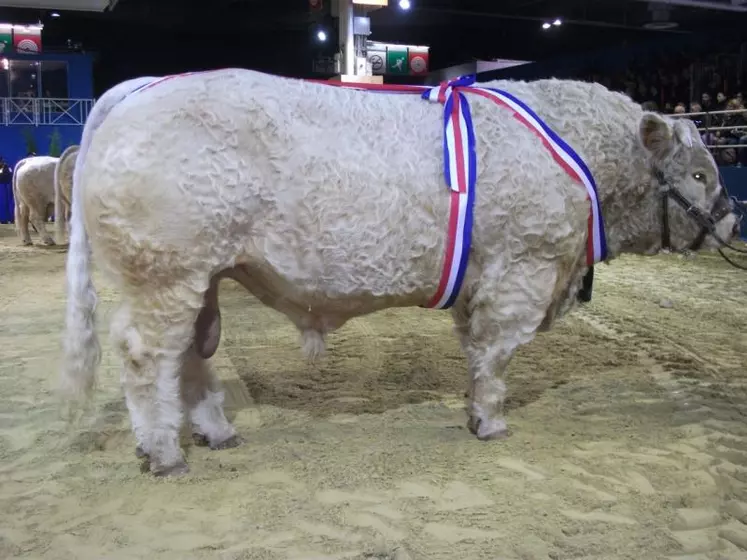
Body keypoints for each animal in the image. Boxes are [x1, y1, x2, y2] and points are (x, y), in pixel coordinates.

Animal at [60, 68, 744, 474]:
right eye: (700, 173)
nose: (733, 221)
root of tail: (144, 87)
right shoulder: (523, 267)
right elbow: (497, 354)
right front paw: (491, 422)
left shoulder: (485, 280)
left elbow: (476, 349)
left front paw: (474, 409)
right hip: (165, 274)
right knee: (147, 356)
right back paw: (163, 451)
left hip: (201, 276)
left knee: (193, 355)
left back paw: (215, 431)